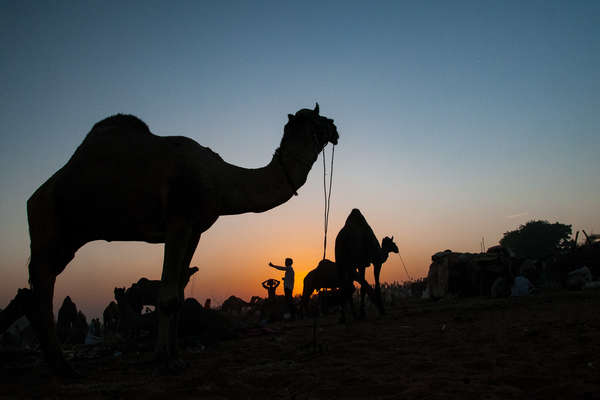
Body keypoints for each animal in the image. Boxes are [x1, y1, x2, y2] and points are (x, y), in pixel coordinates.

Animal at [23, 103, 338, 376]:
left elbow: (179, 292)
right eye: (316, 118)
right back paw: (63, 367)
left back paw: (59, 365)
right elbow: (168, 295)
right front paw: (165, 361)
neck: (218, 180)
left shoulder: (195, 229)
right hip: (47, 224)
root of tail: (37, 194)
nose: (336, 128)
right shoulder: (178, 220)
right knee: (42, 284)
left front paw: (174, 354)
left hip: (69, 237)